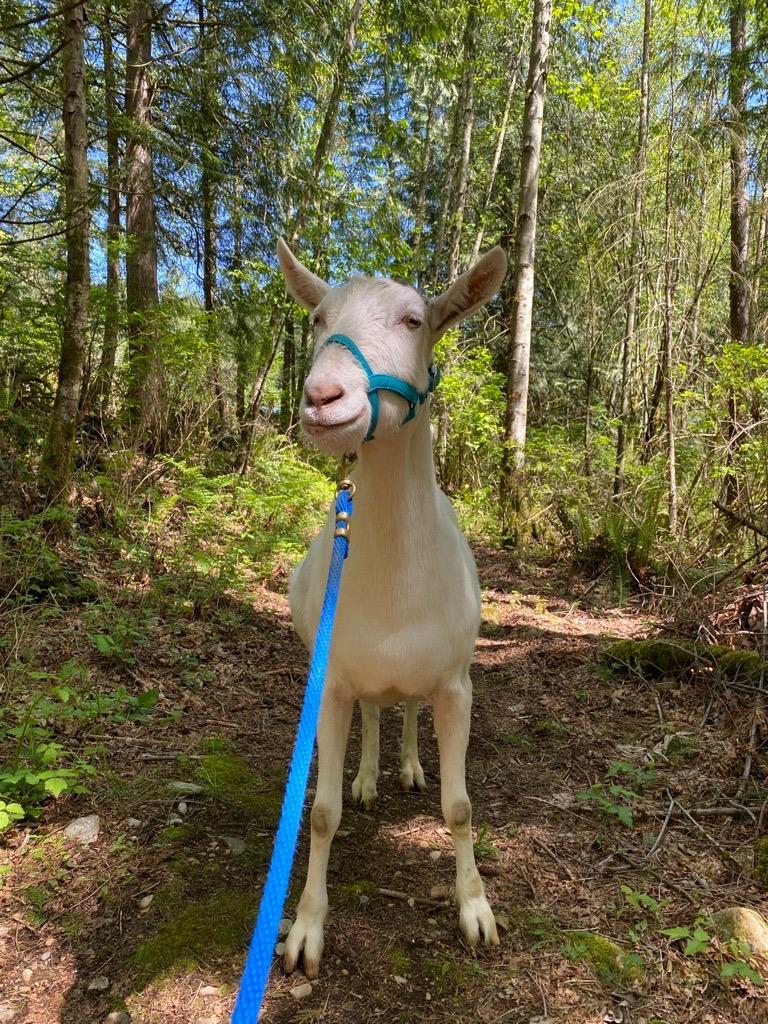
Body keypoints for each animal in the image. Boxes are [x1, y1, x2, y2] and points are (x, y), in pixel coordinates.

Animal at [277, 238, 507, 978]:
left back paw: (405, 764)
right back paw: (371, 774)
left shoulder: (458, 683)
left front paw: (475, 909)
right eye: (318, 317)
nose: (323, 397)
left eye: (414, 320)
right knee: (378, 710)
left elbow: (459, 806)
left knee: (404, 708)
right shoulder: (330, 682)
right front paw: (306, 927)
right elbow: (320, 813)